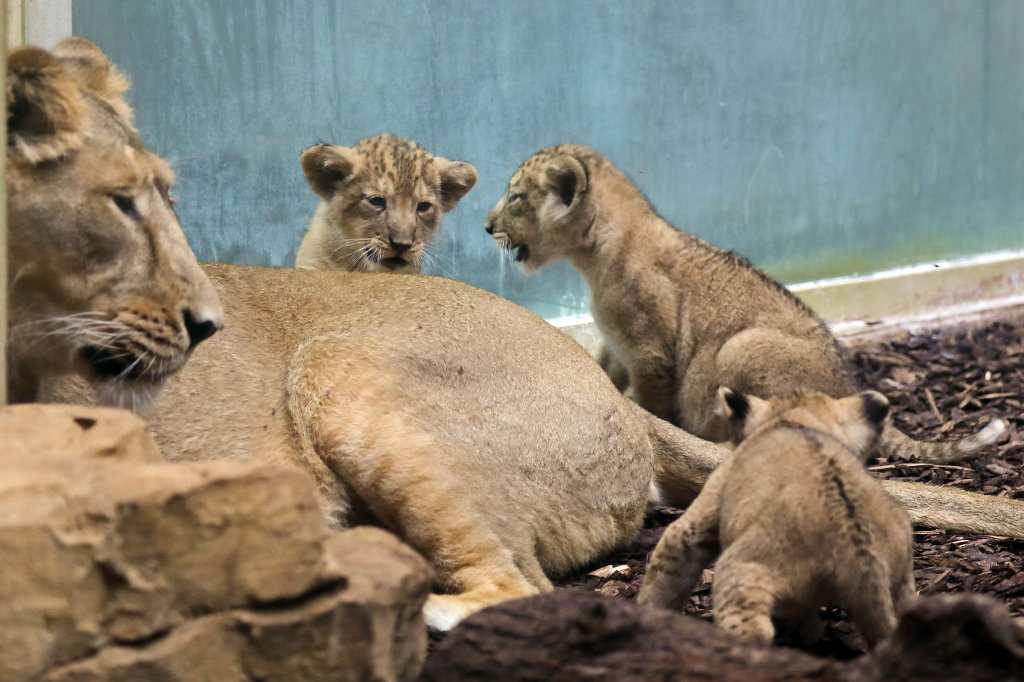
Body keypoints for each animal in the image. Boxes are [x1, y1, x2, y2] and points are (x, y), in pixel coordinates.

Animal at [484, 144, 1006, 464]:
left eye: (515, 198)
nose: (486, 227)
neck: (596, 255)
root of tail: (845, 388)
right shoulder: (616, 346)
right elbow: (603, 374)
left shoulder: (651, 352)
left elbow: (652, 402)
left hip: (739, 348)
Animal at [638, 387, 916, 649]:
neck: (798, 419)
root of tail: (862, 552)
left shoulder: (702, 510)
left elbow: (667, 570)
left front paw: (648, 610)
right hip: (902, 580)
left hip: (743, 570)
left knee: (754, 631)